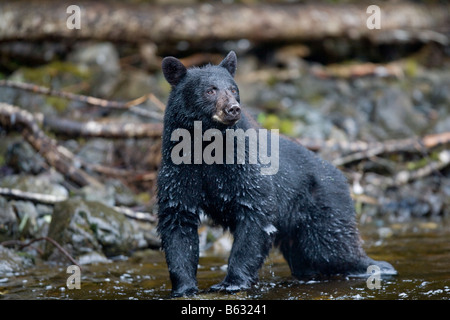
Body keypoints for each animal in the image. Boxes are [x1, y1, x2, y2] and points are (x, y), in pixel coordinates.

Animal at [156, 50, 396, 298]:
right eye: (210, 90)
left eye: (233, 89)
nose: (233, 108)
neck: (207, 147)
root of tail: (342, 178)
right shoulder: (179, 171)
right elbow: (177, 221)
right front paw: (184, 287)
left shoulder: (244, 168)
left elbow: (255, 214)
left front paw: (232, 282)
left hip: (323, 209)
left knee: (334, 248)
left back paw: (375, 266)